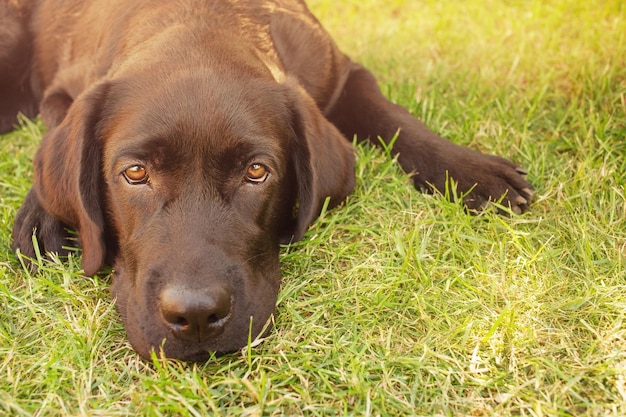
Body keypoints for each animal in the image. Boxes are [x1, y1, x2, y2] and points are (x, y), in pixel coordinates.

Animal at [1, 0, 532, 360]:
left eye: (257, 172)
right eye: (134, 173)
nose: (196, 316)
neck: (196, 22)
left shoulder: (342, 72)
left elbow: (397, 118)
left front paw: (472, 172)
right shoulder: (63, 90)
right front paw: (41, 215)